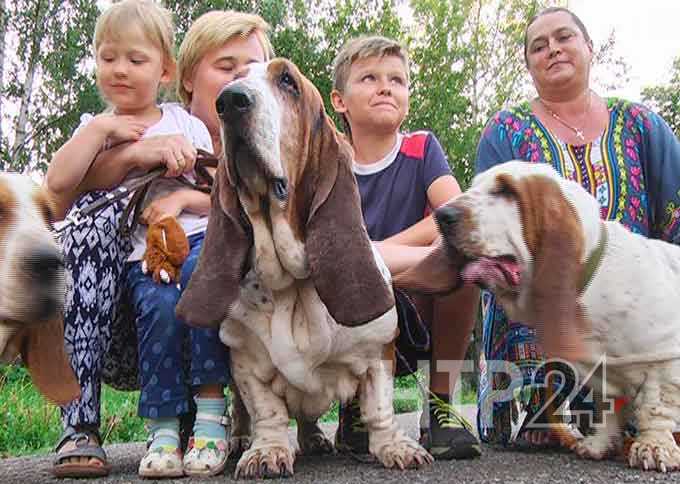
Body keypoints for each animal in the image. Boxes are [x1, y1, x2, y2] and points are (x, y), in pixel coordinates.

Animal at [175, 59, 430, 476]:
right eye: (232, 79)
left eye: (287, 82)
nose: (228, 101)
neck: (291, 283)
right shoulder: (245, 363)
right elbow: (266, 411)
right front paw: (266, 451)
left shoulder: (379, 352)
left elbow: (379, 407)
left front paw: (394, 446)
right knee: (244, 410)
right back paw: (243, 438)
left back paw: (315, 439)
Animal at [396, 162, 680, 472]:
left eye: (506, 190)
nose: (442, 215)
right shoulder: (602, 375)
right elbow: (607, 407)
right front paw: (597, 445)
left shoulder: (663, 360)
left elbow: (655, 408)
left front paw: (653, 447)